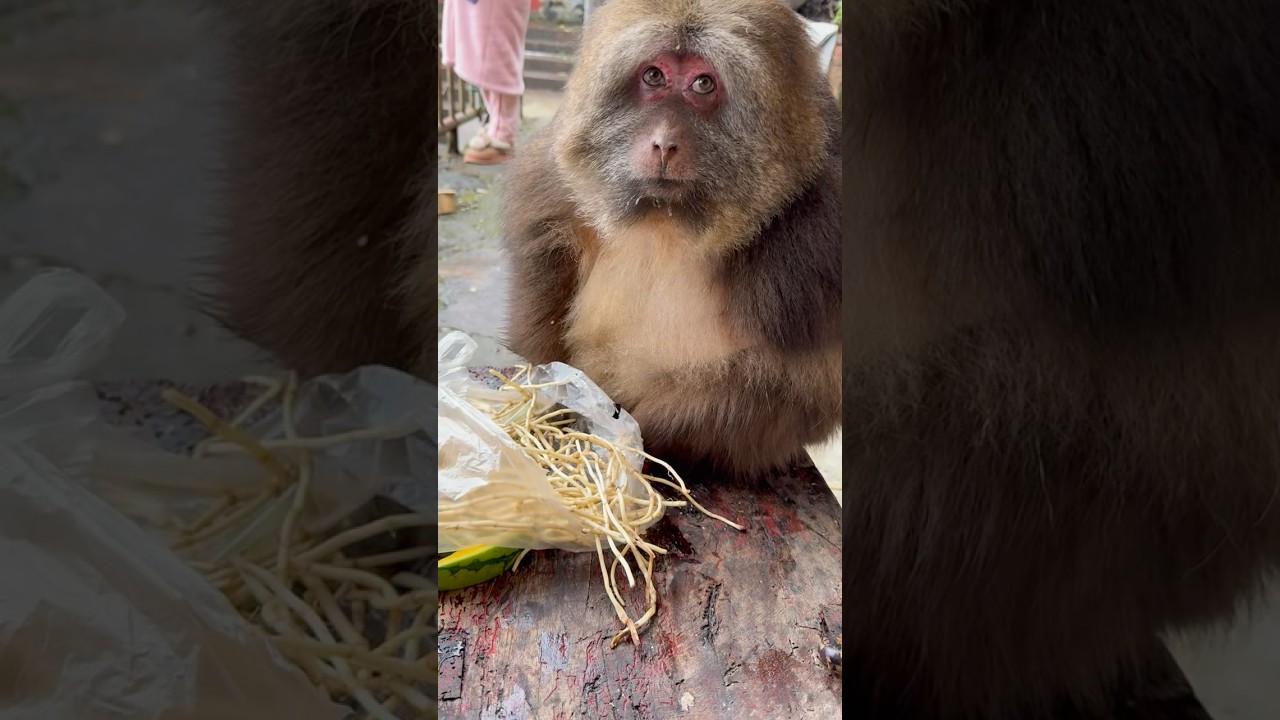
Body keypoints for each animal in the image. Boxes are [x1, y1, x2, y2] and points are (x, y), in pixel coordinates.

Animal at [501, 0, 842, 478]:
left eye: (703, 83)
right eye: (653, 76)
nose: (663, 143)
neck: (672, 218)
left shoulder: (822, 233)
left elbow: (806, 382)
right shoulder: (559, 178)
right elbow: (546, 239)